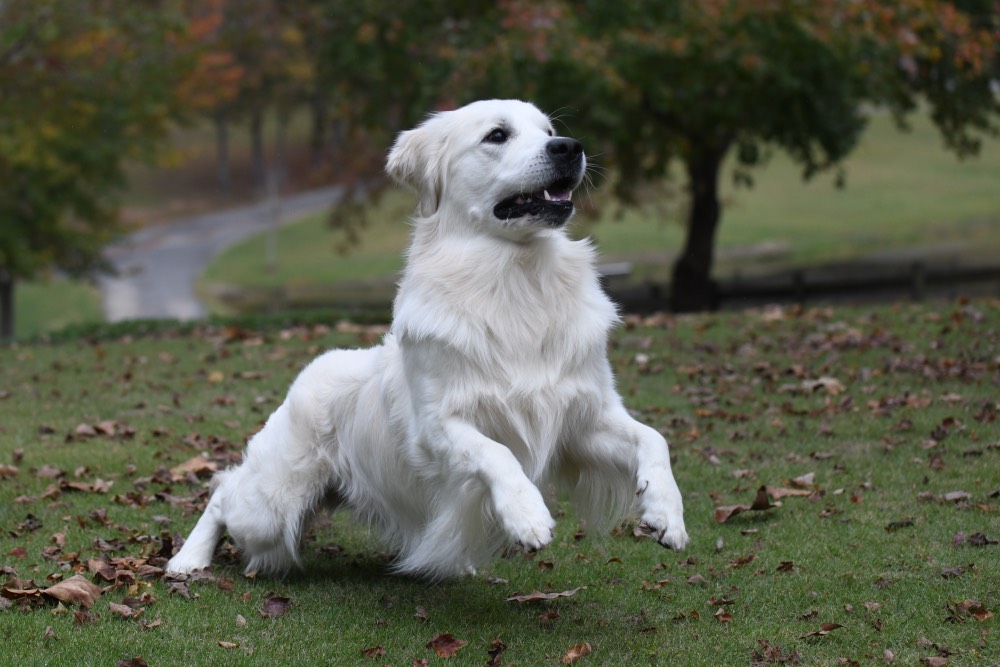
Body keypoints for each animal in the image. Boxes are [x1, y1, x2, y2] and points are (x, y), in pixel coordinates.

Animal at [170, 98, 688, 580]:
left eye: (548, 131)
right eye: (497, 134)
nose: (569, 147)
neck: (518, 277)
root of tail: (315, 366)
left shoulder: (583, 420)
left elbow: (655, 438)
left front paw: (666, 513)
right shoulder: (438, 425)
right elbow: (497, 453)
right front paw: (527, 515)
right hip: (269, 506)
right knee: (222, 491)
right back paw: (186, 560)